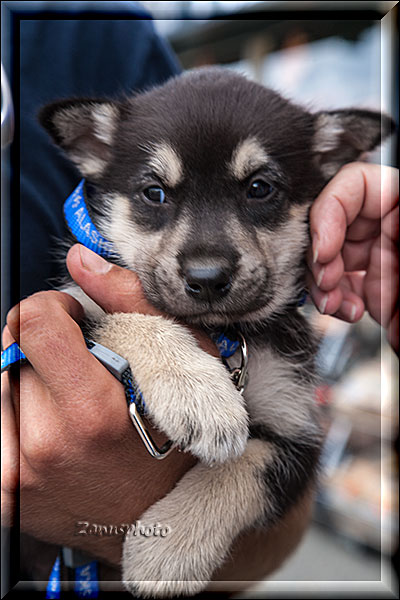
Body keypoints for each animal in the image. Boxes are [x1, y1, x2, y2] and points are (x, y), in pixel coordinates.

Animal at [39, 69, 390, 596]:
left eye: (260, 188)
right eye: (155, 192)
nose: (206, 279)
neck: (227, 333)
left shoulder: (300, 433)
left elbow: (245, 465)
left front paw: (168, 548)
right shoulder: (65, 307)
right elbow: (121, 317)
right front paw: (196, 391)